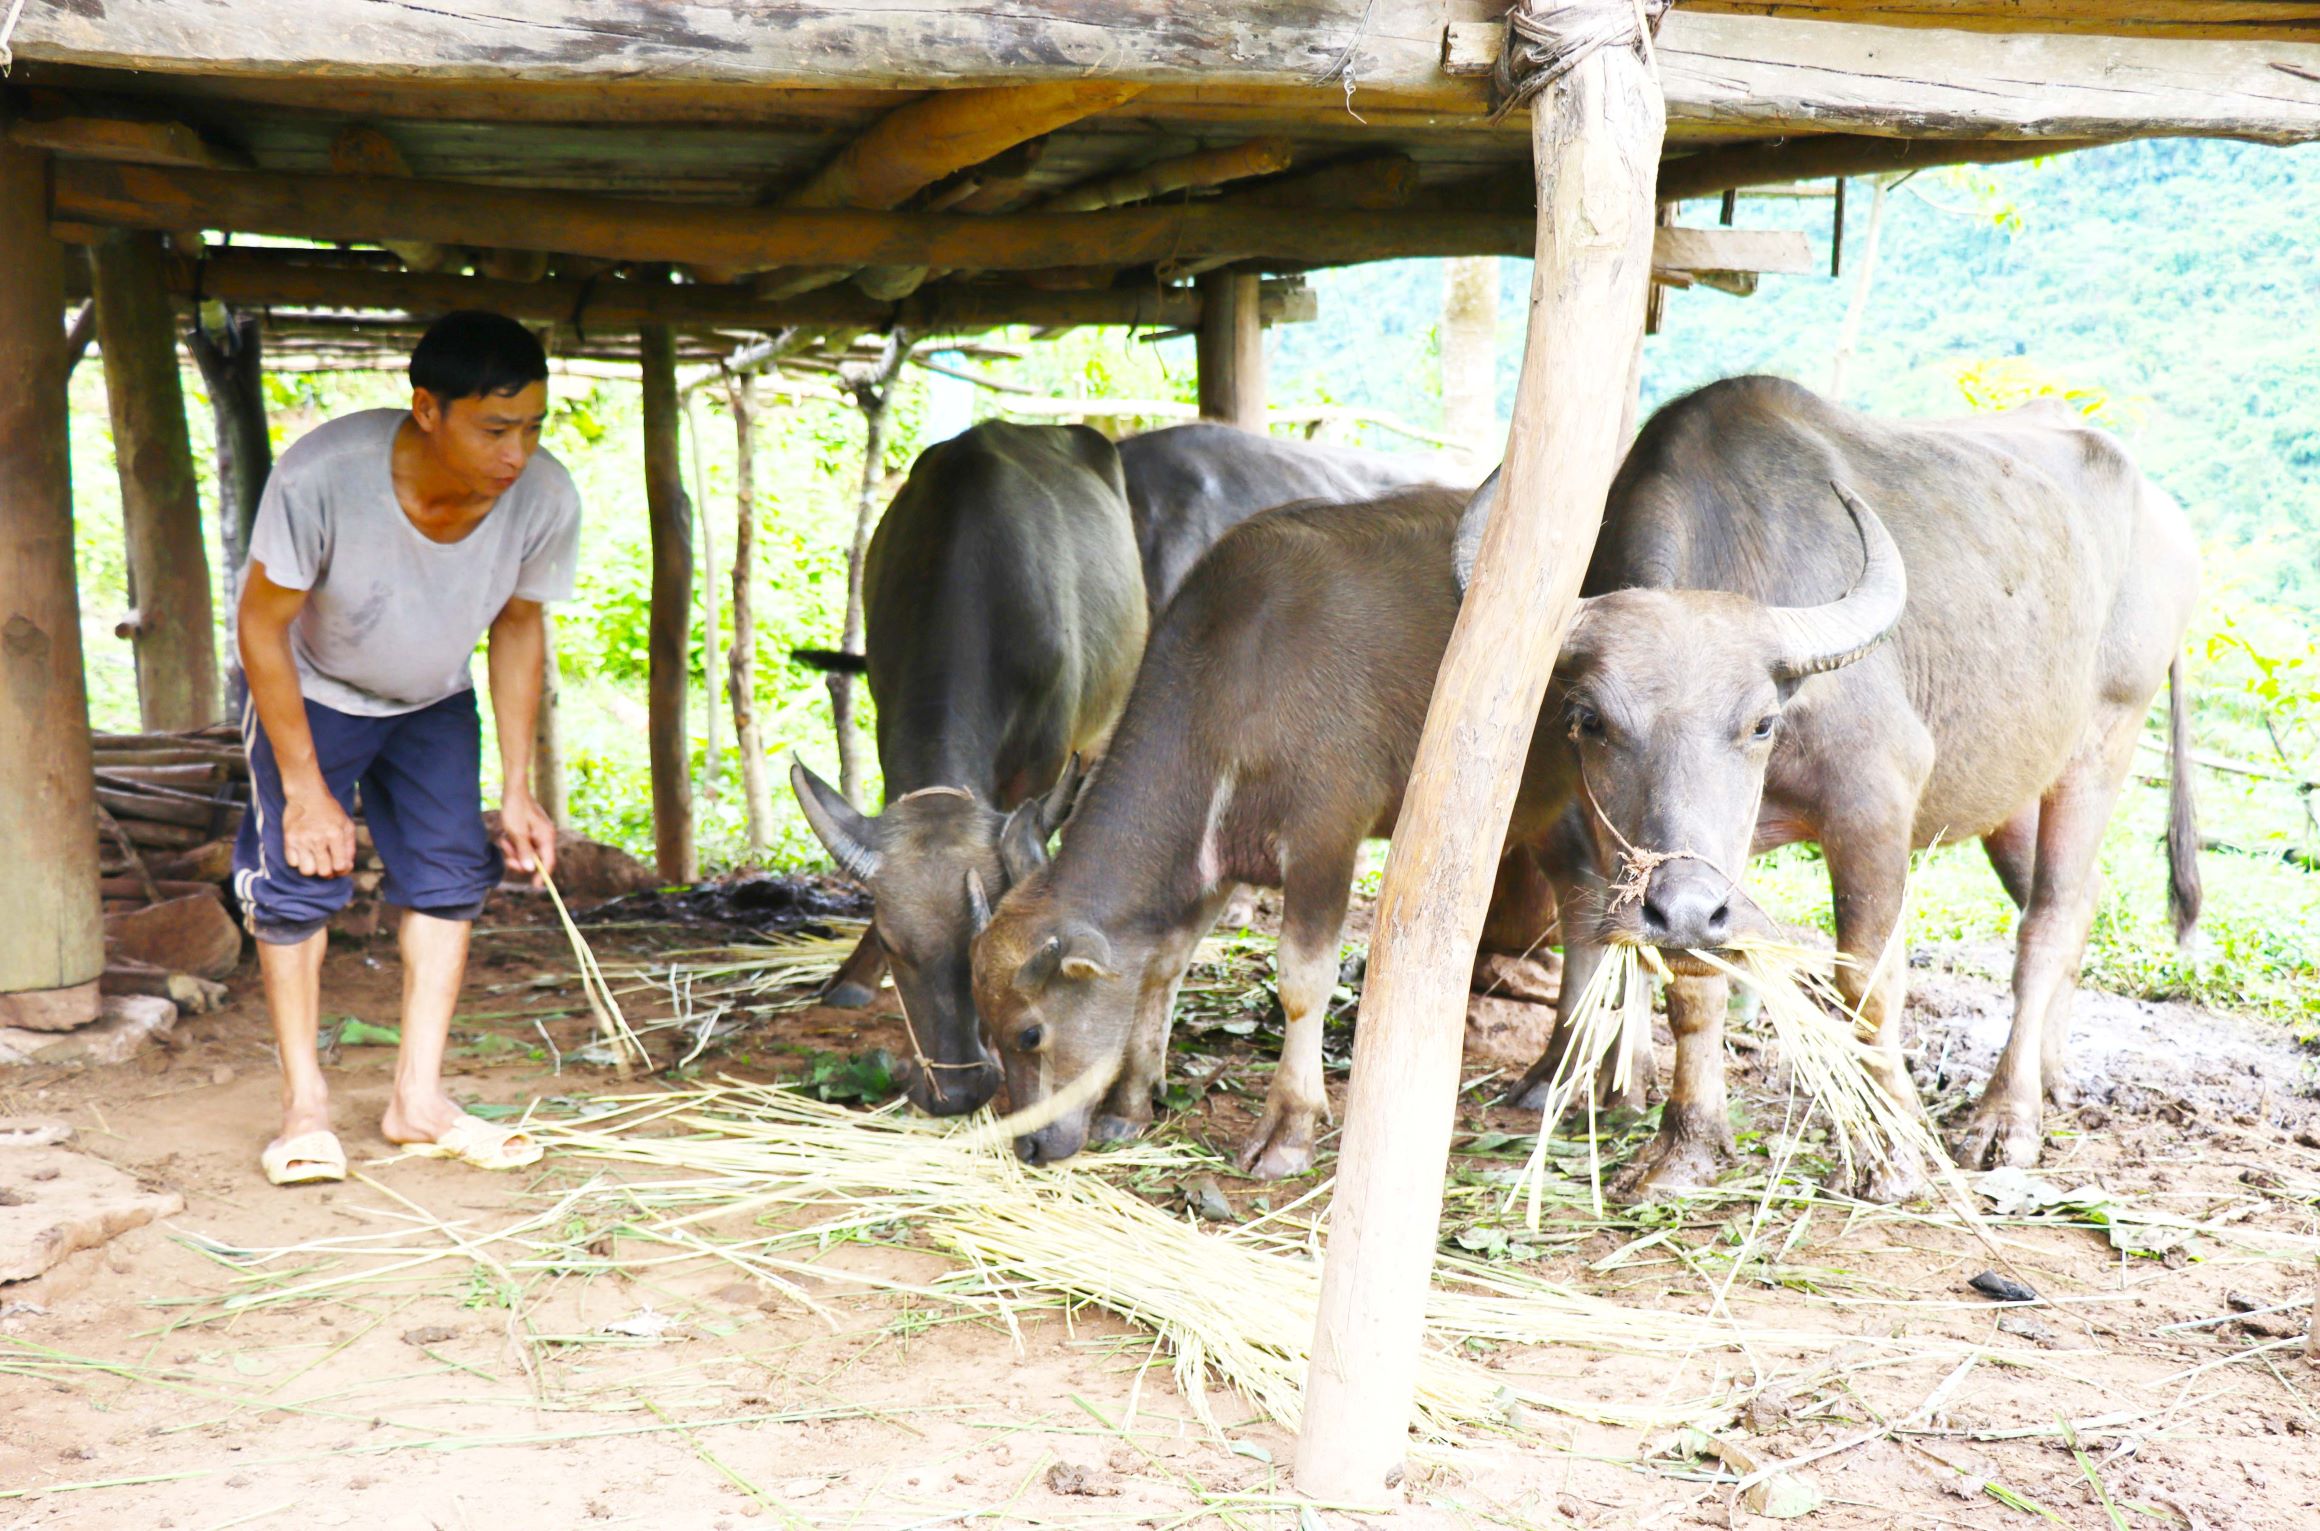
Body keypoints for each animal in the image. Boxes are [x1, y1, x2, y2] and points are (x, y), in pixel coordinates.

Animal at [1475, 373, 2199, 1196]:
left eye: (1762, 723)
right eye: (1590, 720)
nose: (1683, 906)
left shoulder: (1873, 803)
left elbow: (1868, 981)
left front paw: (1896, 1150)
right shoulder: (1650, 851)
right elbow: (1691, 977)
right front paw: (1686, 1145)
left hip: (2108, 733)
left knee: (2050, 920)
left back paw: (2006, 1118)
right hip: (2012, 786)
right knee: (2072, 904)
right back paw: (2047, 1076)